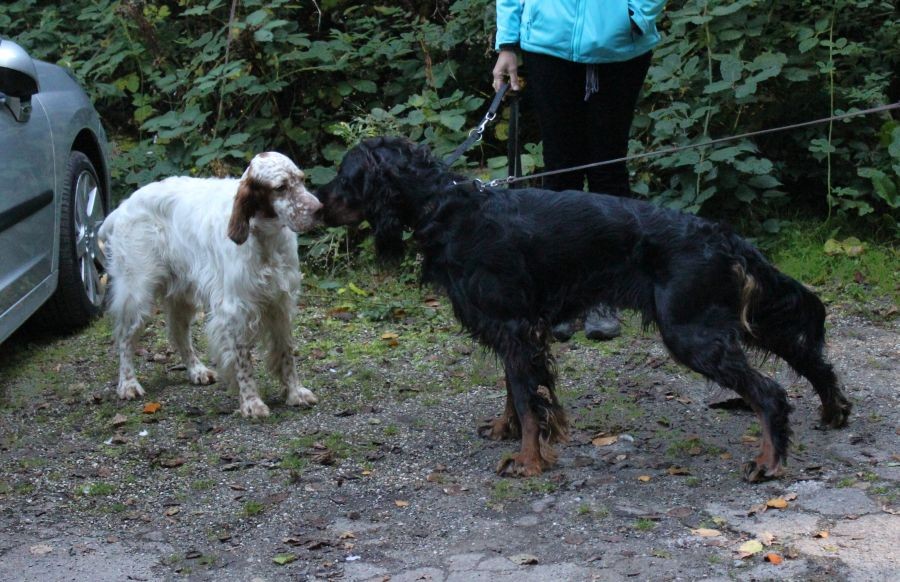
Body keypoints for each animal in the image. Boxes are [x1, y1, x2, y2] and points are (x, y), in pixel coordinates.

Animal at [100, 152, 322, 417]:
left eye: (301, 180)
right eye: (280, 187)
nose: (320, 210)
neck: (264, 238)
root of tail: (122, 208)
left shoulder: (280, 302)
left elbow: (286, 352)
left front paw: (295, 393)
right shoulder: (235, 309)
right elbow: (243, 361)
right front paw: (251, 403)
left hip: (182, 295)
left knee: (178, 333)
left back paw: (197, 370)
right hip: (138, 292)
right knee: (124, 337)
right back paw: (128, 384)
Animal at [315, 136, 852, 482]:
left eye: (344, 177)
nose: (317, 206)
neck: (446, 209)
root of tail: (722, 235)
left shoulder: (514, 325)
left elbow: (528, 399)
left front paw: (528, 462)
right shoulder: (518, 331)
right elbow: (517, 390)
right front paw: (507, 431)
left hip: (691, 333)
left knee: (770, 393)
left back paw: (769, 462)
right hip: (731, 321)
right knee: (810, 359)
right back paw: (834, 411)